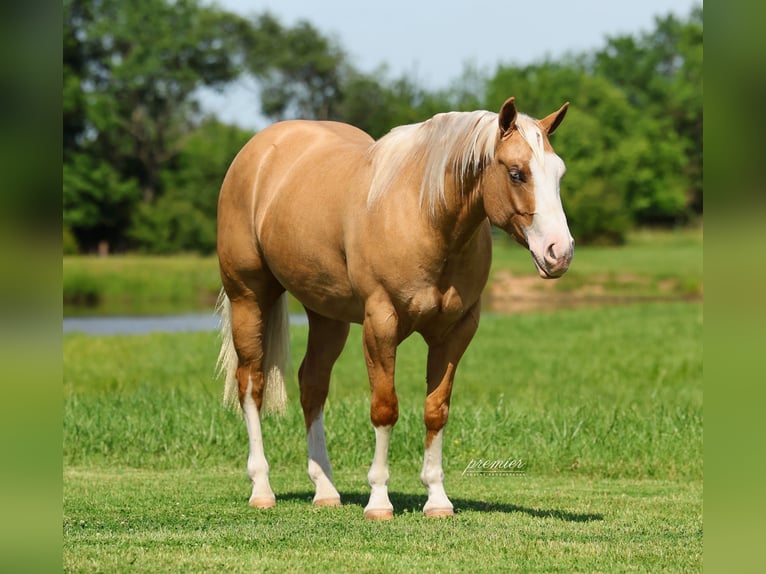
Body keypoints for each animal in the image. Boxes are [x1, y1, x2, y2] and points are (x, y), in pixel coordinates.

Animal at [216, 97, 573, 519]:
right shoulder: (380, 324)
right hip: (249, 296)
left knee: (313, 384)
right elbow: (385, 409)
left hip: (327, 314)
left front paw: (437, 498)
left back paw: (325, 490)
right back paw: (261, 488)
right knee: (251, 383)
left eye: (559, 173)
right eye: (517, 173)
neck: (425, 214)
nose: (560, 252)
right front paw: (379, 500)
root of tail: (256, 152)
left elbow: (436, 410)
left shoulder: (455, 332)